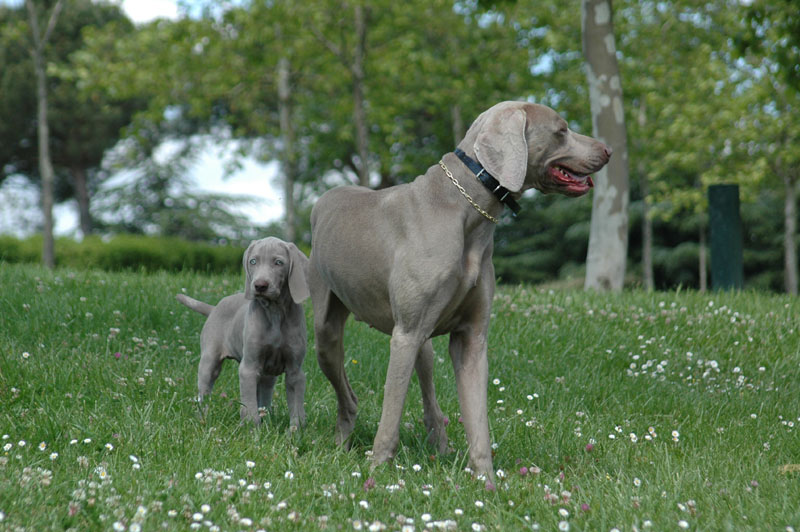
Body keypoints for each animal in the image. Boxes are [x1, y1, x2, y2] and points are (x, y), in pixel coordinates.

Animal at [177, 237, 310, 428]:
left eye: (278, 263)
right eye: (253, 261)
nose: (260, 286)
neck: (275, 312)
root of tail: (214, 307)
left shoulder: (295, 371)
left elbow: (296, 405)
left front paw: (295, 430)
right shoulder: (249, 367)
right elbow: (249, 404)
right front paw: (251, 429)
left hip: (267, 373)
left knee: (265, 392)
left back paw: (267, 417)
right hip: (209, 361)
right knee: (204, 392)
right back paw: (202, 417)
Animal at [310, 100, 608, 482]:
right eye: (561, 130)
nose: (608, 150)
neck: (466, 206)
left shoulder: (471, 338)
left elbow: (478, 418)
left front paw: (486, 482)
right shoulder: (405, 334)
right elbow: (390, 415)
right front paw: (376, 471)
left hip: (418, 342)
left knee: (428, 394)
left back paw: (440, 445)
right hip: (327, 332)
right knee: (347, 394)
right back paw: (343, 445)